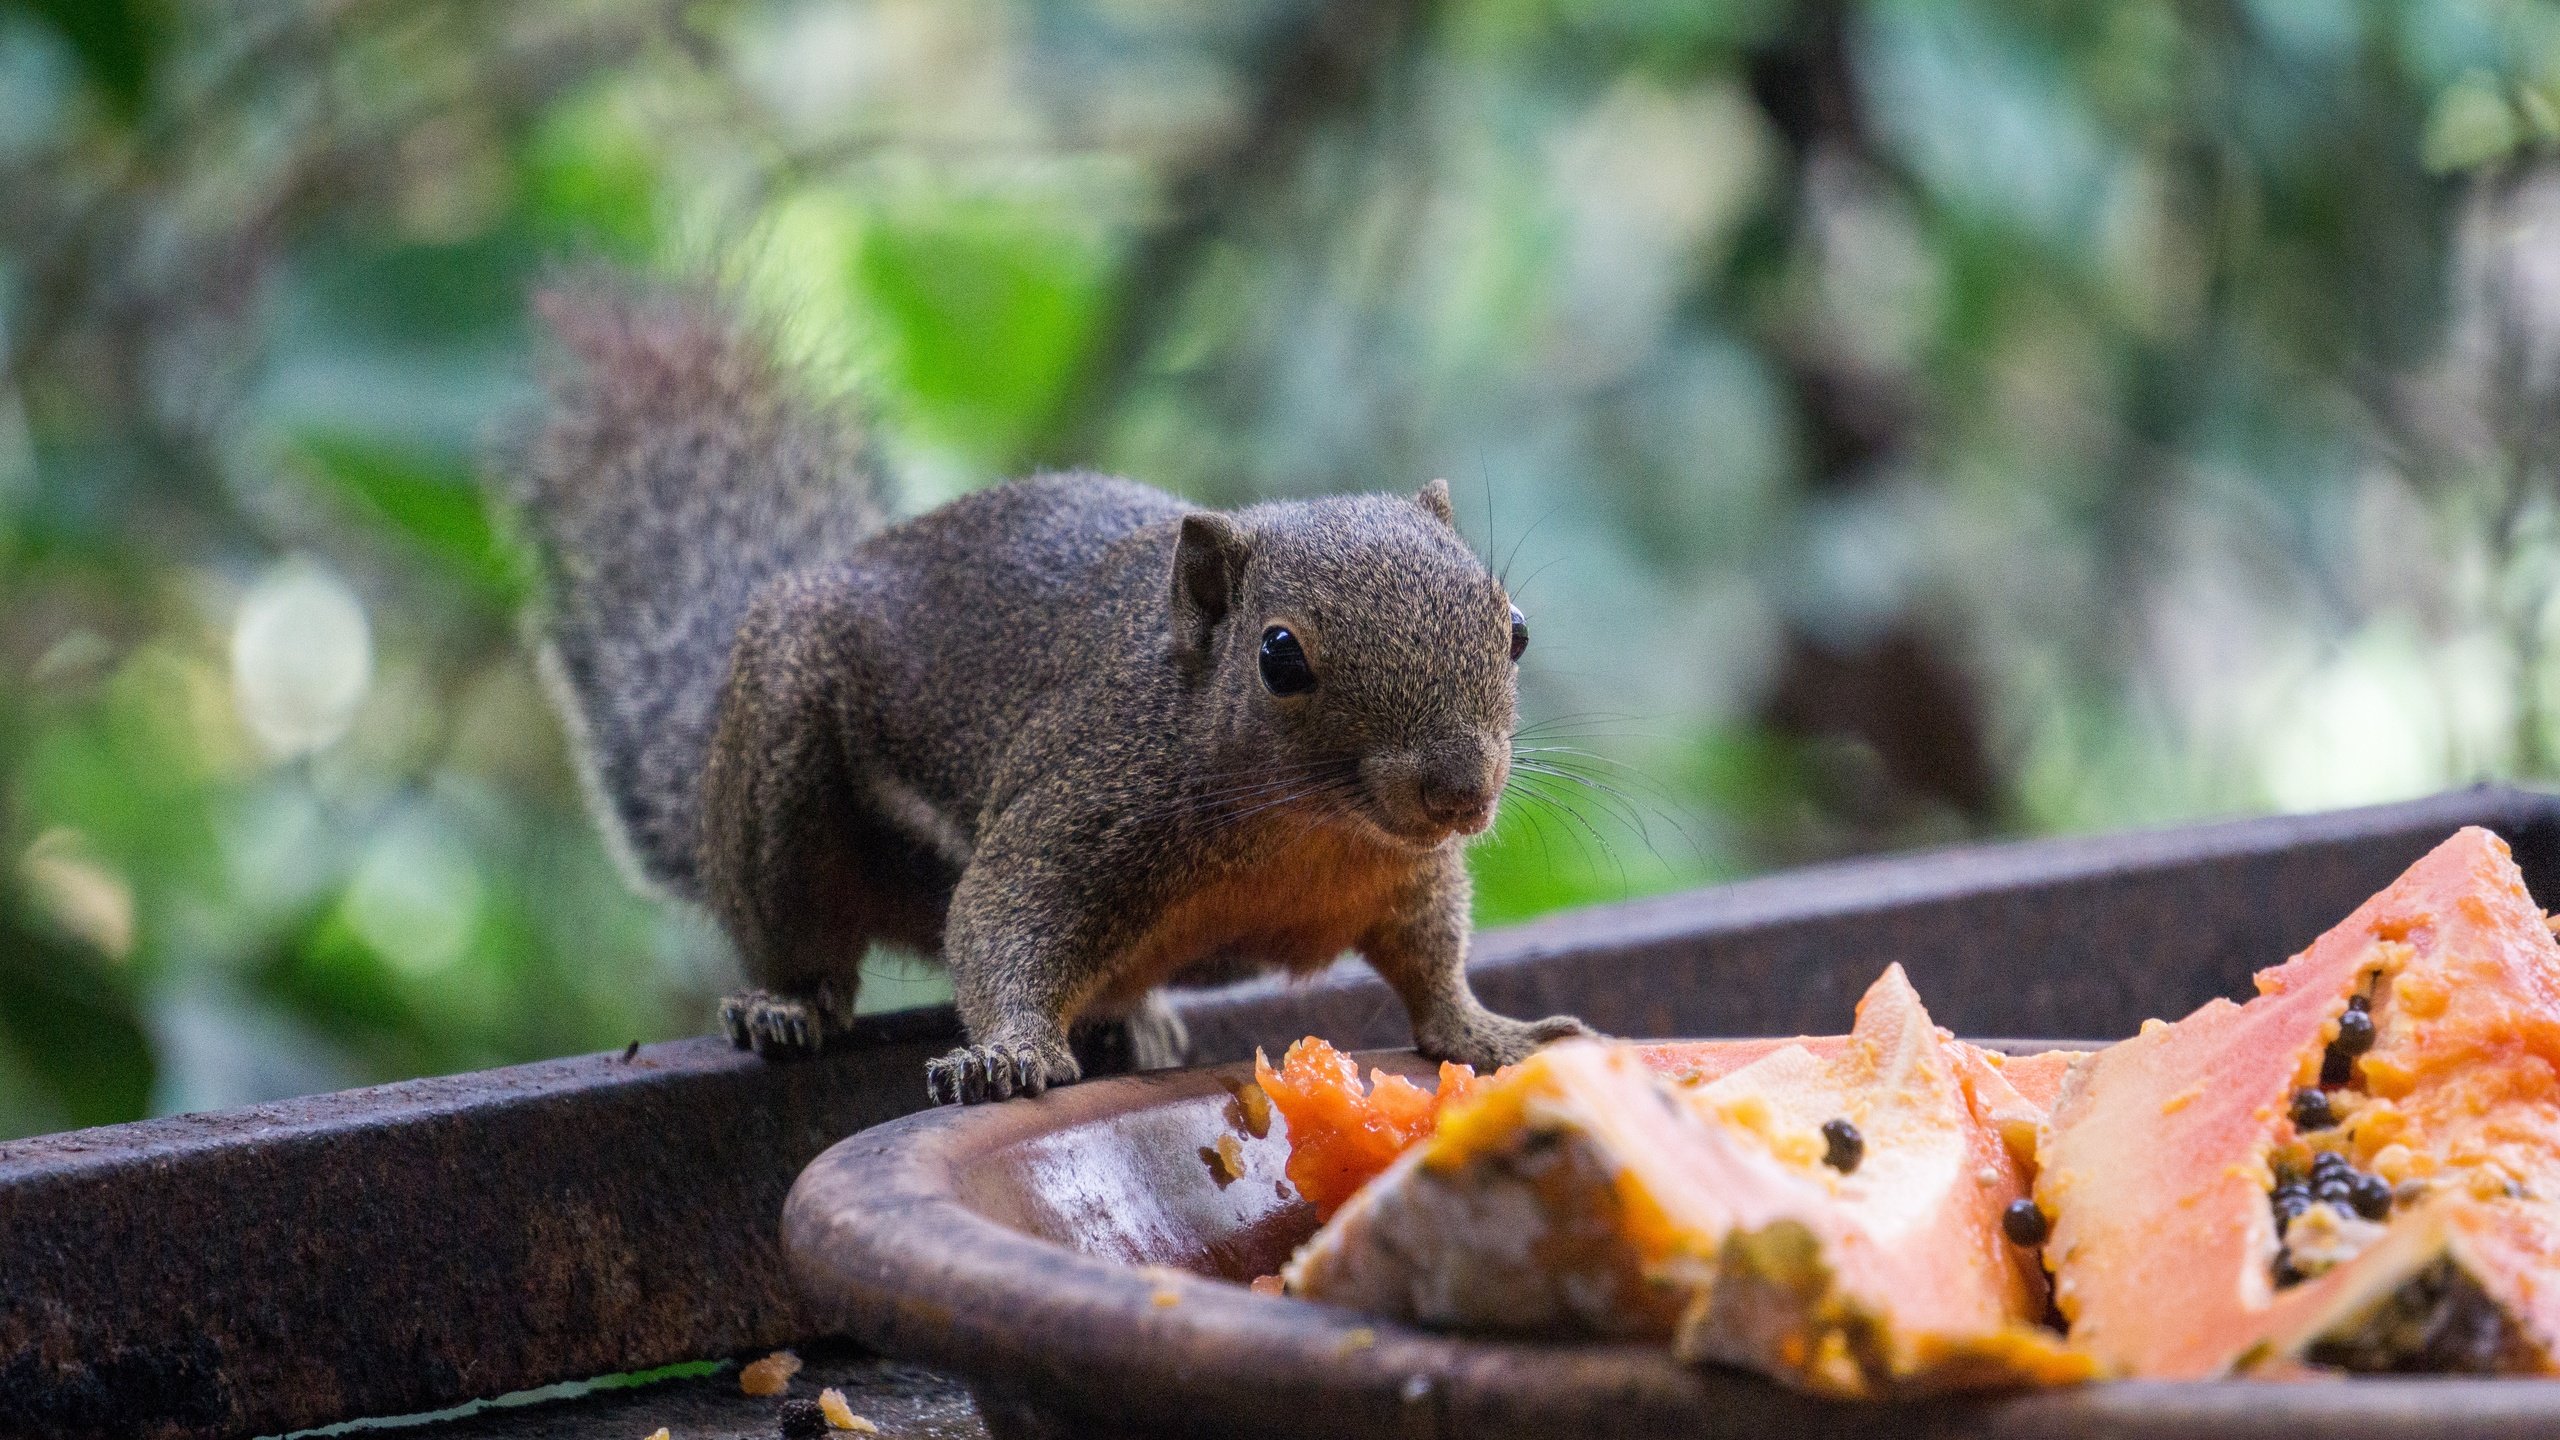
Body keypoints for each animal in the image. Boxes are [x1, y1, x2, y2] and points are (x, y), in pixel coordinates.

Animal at [499, 278, 1587, 1096]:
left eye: (1516, 630)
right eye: (1280, 656)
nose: (1460, 792)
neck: (1305, 829)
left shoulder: (1407, 874)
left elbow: (1433, 963)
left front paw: (1495, 1035)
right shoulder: (1080, 807)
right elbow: (1000, 923)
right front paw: (1008, 1055)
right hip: (781, 760)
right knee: (796, 934)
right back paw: (785, 1004)